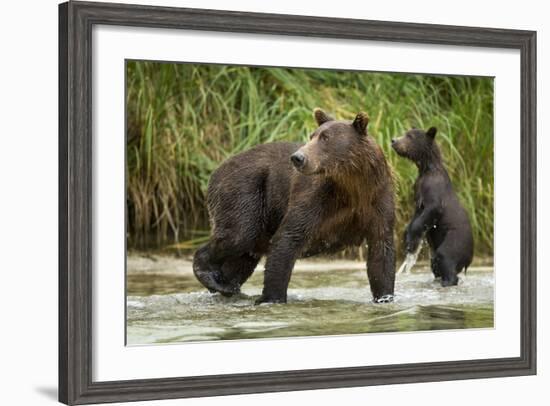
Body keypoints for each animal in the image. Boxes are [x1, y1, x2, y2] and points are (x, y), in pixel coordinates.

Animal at [194, 109, 396, 302]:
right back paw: (210, 276)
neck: (352, 185)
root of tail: (217, 169)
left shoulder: (377, 200)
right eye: (312, 135)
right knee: (239, 235)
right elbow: (289, 237)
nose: (298, 157)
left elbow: (381, 252)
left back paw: (226, 285)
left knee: (243, 257)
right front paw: (272, 297)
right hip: (245, 191)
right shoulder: (317, 197)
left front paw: (384, 296)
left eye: (326, 137)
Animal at [392, 127, 474, 286]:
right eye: (405, 133)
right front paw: (407, 236)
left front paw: (411, 240)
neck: (426, 168)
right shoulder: (417, 190)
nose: (394, 140)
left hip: (455, 239)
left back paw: (447, 281)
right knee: (435, 263)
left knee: (445, 257)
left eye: (409, 136)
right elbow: (417, 214)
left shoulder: (433, 188)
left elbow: (432, 210)